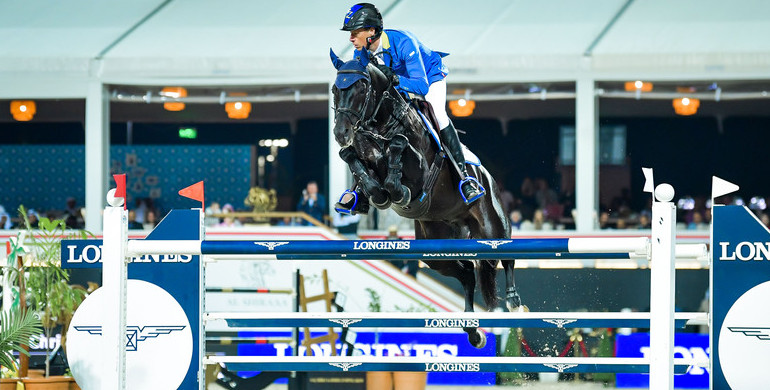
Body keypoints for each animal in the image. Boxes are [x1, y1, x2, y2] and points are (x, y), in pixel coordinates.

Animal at [330, 49, 520, 348]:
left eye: (361, 87)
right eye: (335, 90)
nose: (341, 133)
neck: (380, 124)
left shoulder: (420, 167)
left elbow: (399, 147)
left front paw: (398, 190)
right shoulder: (361, 153)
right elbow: (351, 159)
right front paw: (373, 194)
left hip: (492, 225)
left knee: (506, 255)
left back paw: (513, 300)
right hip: (435, 250)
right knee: (467, 272)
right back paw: (473, 331)